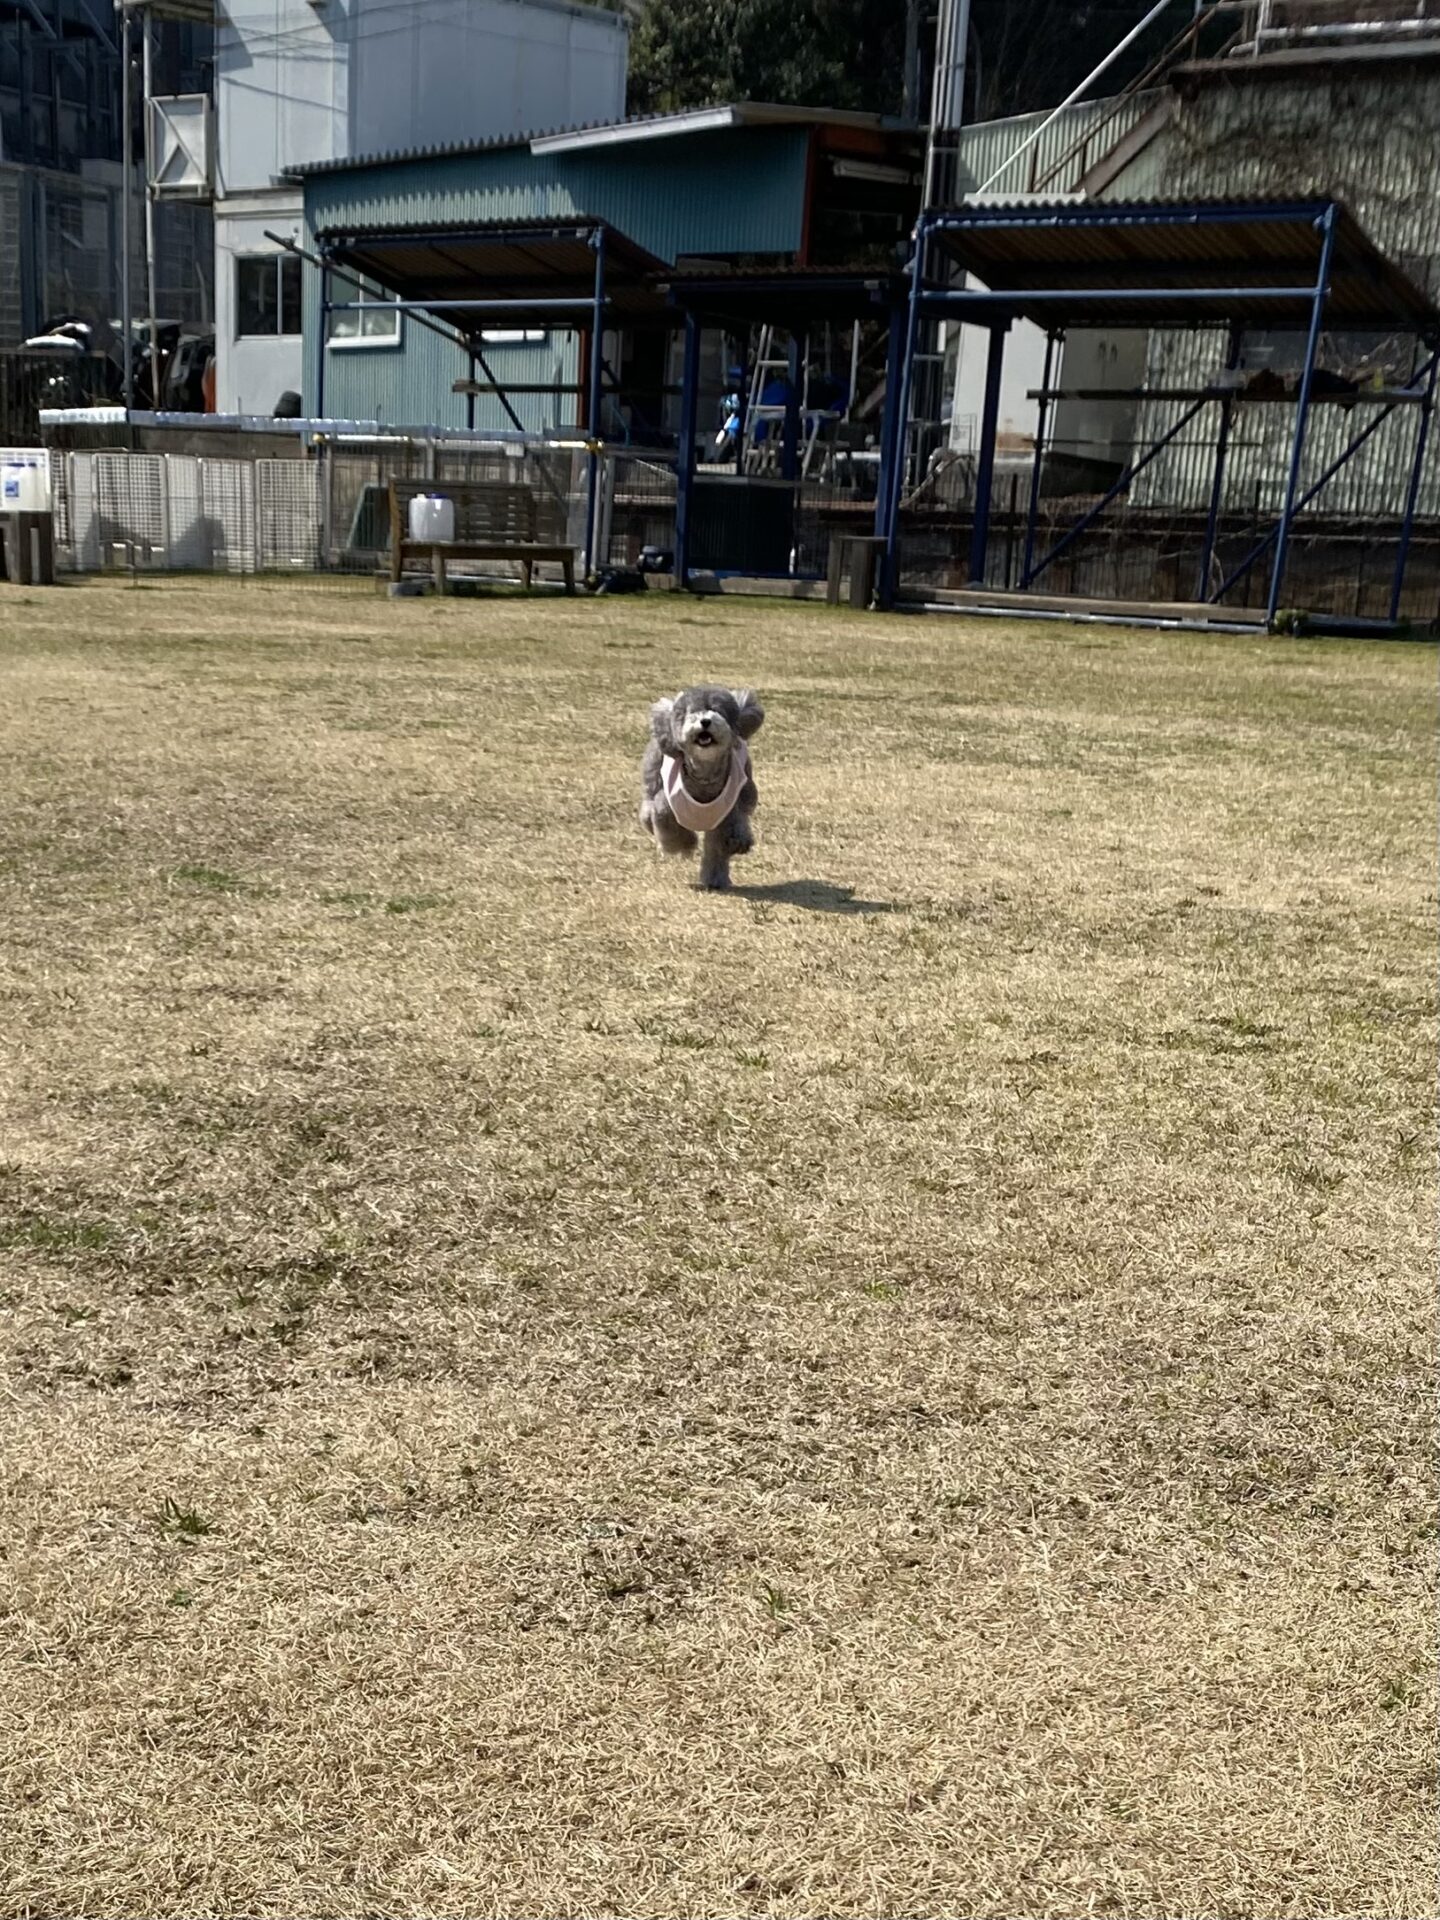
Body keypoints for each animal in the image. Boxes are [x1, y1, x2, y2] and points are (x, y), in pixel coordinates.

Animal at [639, 685, 764, 890]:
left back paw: (715, 880)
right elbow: (667, 820)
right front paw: (686, 844)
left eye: (716, 710)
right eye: (692, 712)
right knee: (648, 807)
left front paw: (737, 842)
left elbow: (726, 837)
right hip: (653, 776)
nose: (705, 721)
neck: (704, 774)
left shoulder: (730, 808)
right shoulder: (667, 803)